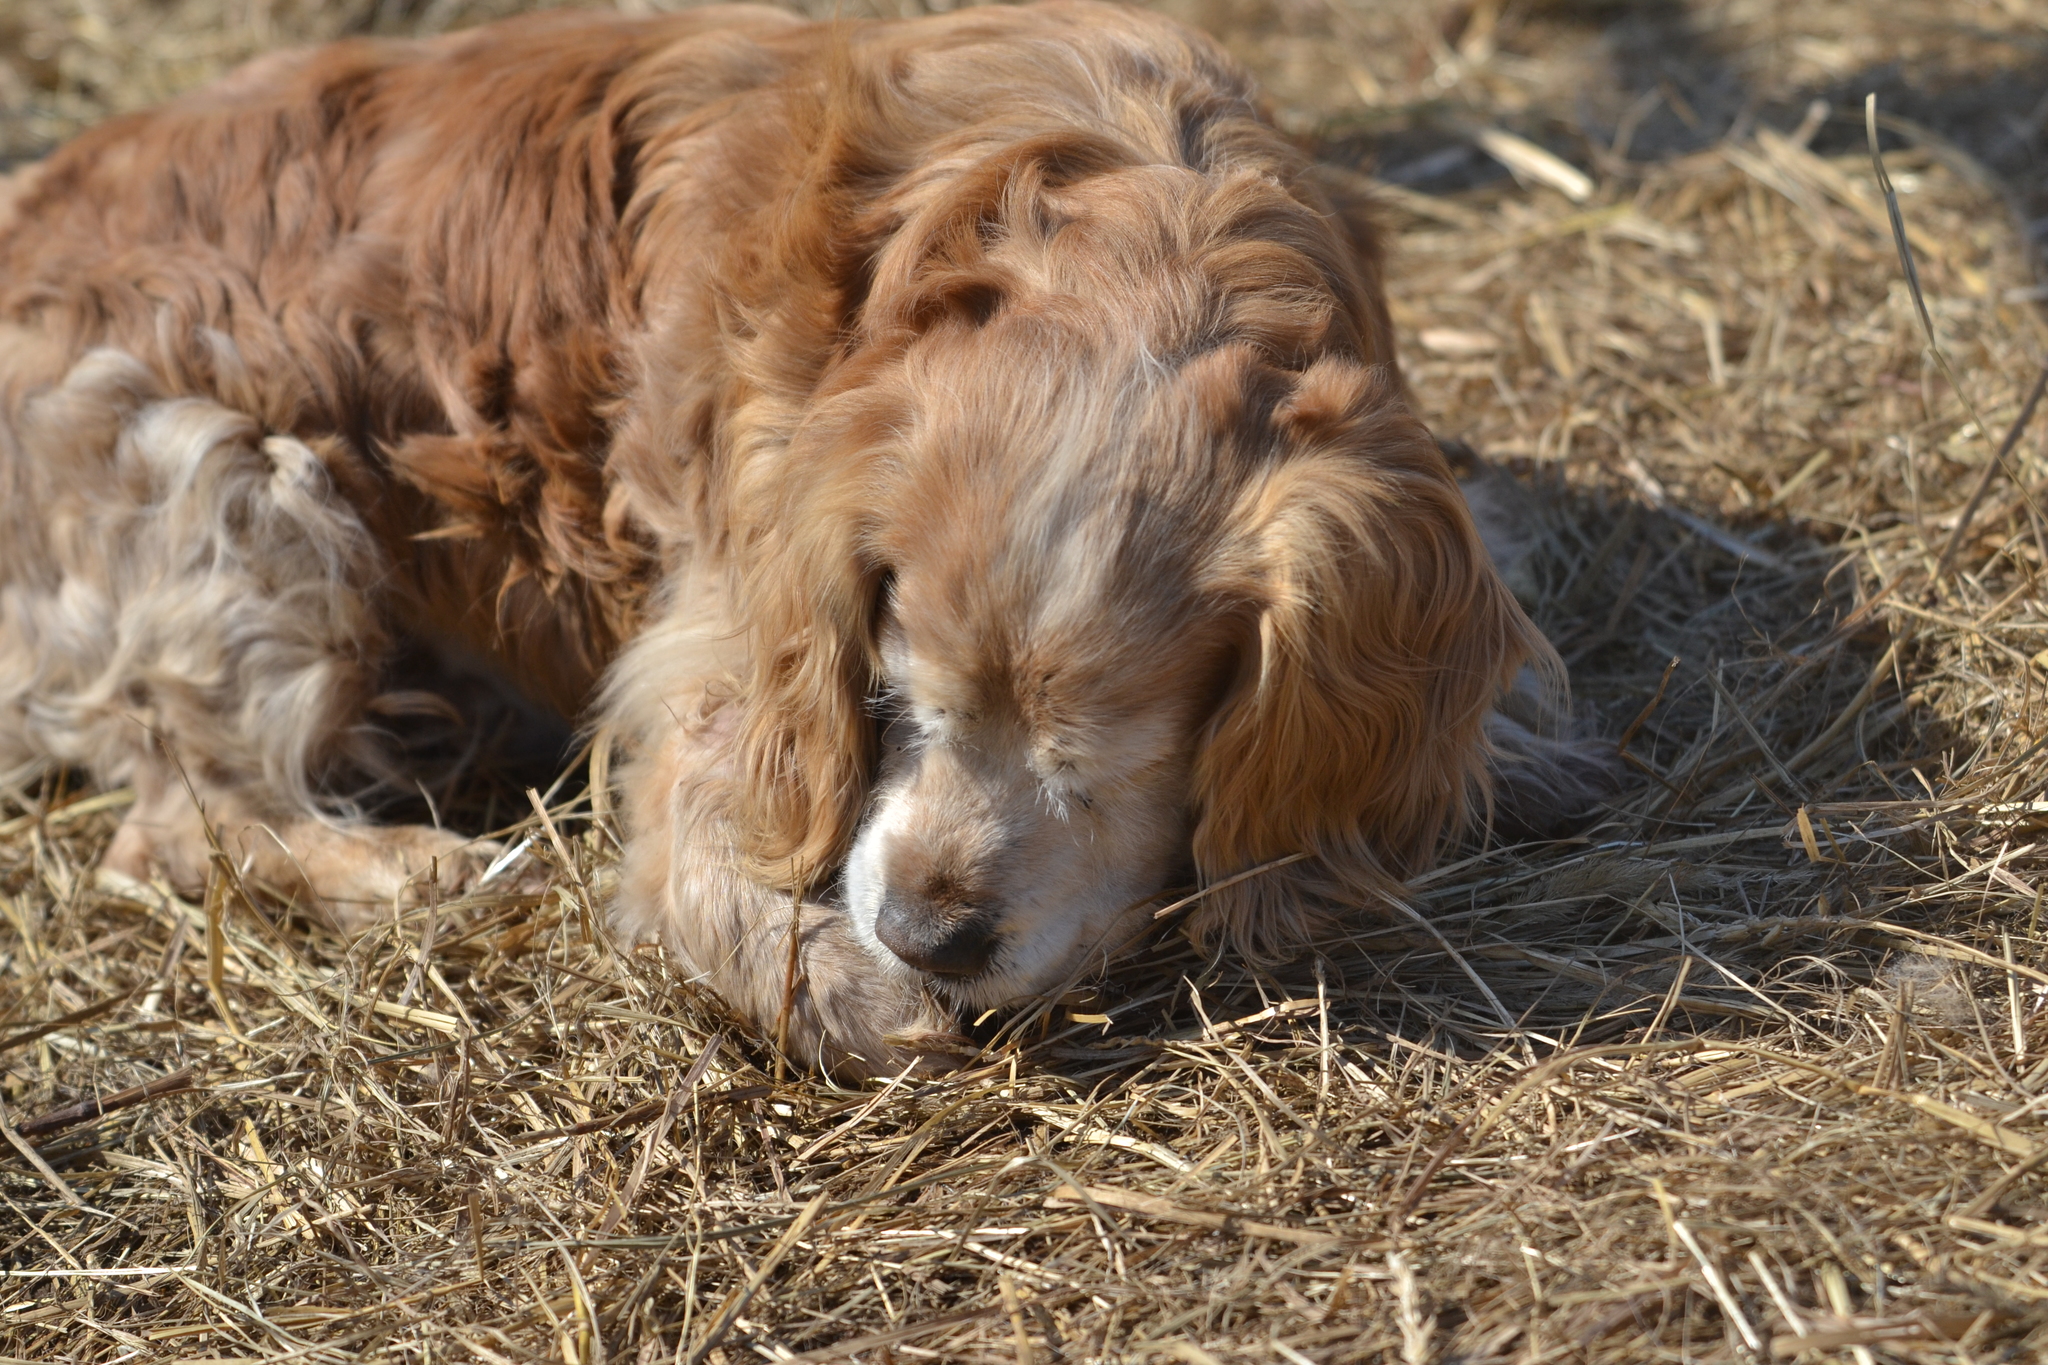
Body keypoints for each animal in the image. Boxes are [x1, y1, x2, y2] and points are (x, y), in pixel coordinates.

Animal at [0, 2, 1597, 1080]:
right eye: (893, 691)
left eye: (1116, 753)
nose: (927, 931)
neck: (1132, 212)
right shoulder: (717, 649)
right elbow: (700, 860)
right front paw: (850, 989)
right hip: (229, 489)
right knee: (179, 821)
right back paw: (418, 867)